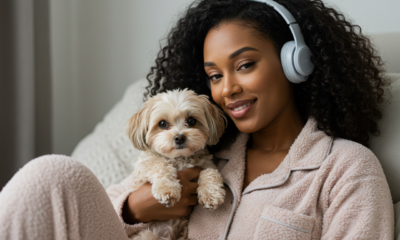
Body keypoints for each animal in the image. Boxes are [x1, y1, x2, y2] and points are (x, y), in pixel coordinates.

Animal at [126, 88, 225, 240]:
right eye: (162, 124)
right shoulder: (143, 169)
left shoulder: (207, 164)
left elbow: (209, 172)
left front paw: (211, 194)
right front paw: (167, 190)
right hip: (146, 235)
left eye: (191, 121)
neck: (180, 159)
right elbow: (161, 164)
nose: (179, 137)